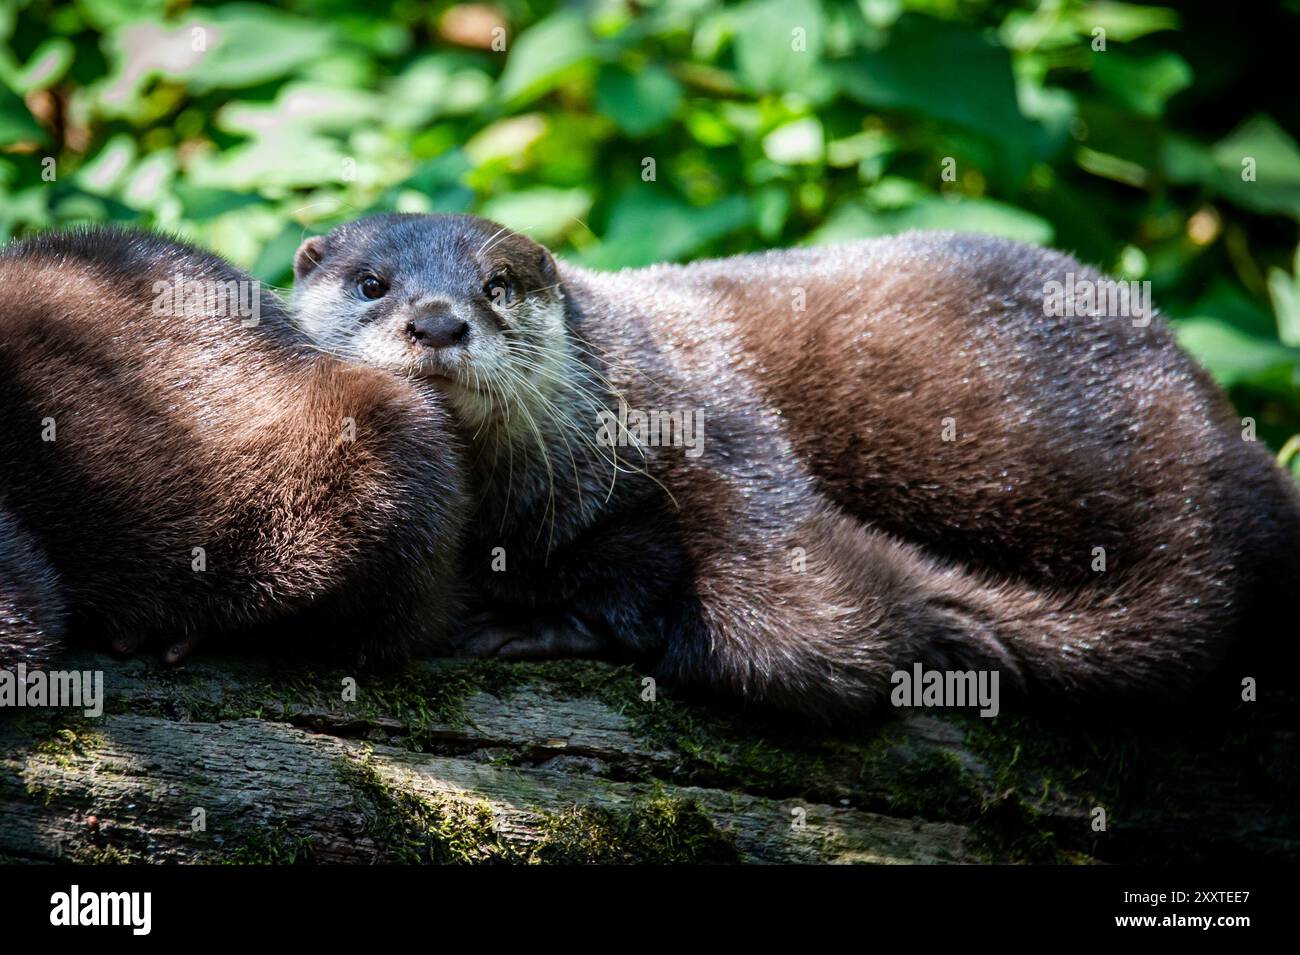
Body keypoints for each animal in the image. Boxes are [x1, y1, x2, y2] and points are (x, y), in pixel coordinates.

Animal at [292, 214, 1300, 717]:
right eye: (372, 283)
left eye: (497, 287)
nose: (437, 319)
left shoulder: (717, 431)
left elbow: (804, 637)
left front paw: (533, 622)